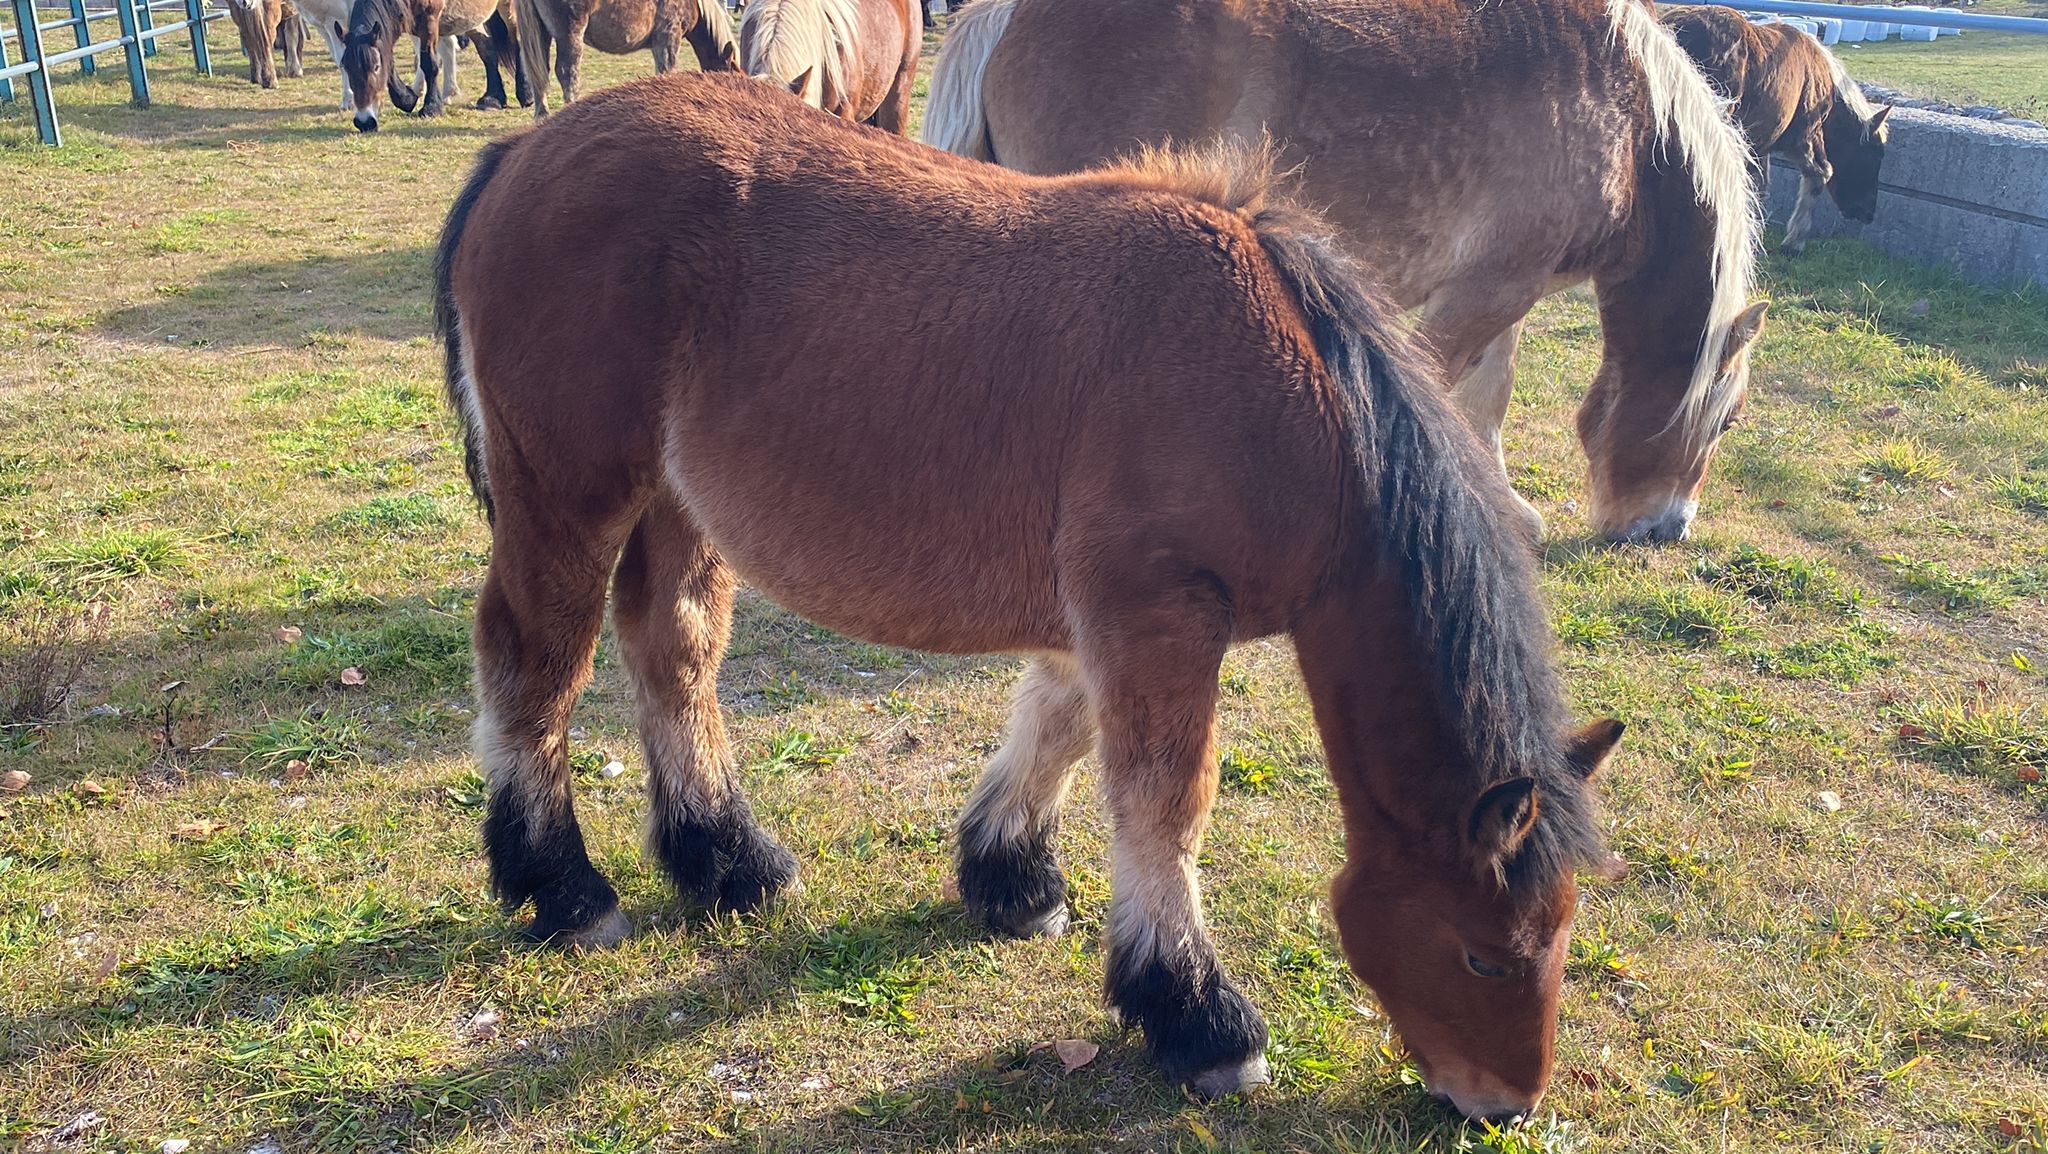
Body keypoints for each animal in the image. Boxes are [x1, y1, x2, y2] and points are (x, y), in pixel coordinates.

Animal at [440, 72, 1622, 1123]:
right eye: (1484, 953)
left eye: (1562, 931)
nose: (1503, 1105)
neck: (1286, 396)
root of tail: (526, 152)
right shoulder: (1156, 616)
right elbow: (1163, 799)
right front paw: (1196, 1014)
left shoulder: (1101, 619)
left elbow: (1056, 728)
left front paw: (1011, 880)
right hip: (571, 499)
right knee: (534, 664)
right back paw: (561, 886)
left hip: (673, 507)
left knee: (672, 653)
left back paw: (727, 860)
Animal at [512, 0, 737, 116]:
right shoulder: (668, 37)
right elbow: (667, 70)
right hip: (570, 33)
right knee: (567, 73)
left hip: (542, 34)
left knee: (540, 74)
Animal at [929, 0, 1777, 545]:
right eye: (1728, 421)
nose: (1666, 530)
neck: (1630, 118)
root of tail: (1003, 17)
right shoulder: (1486, 293)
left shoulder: (1510, 290)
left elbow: (1488, 397)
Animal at [1662, 3, 1884, 257]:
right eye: (1876, 154)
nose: (1868, 212)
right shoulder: (1806, 137)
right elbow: (1821, 173)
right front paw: (1794, 241)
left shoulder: (1759, 147)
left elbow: (1758, 188)